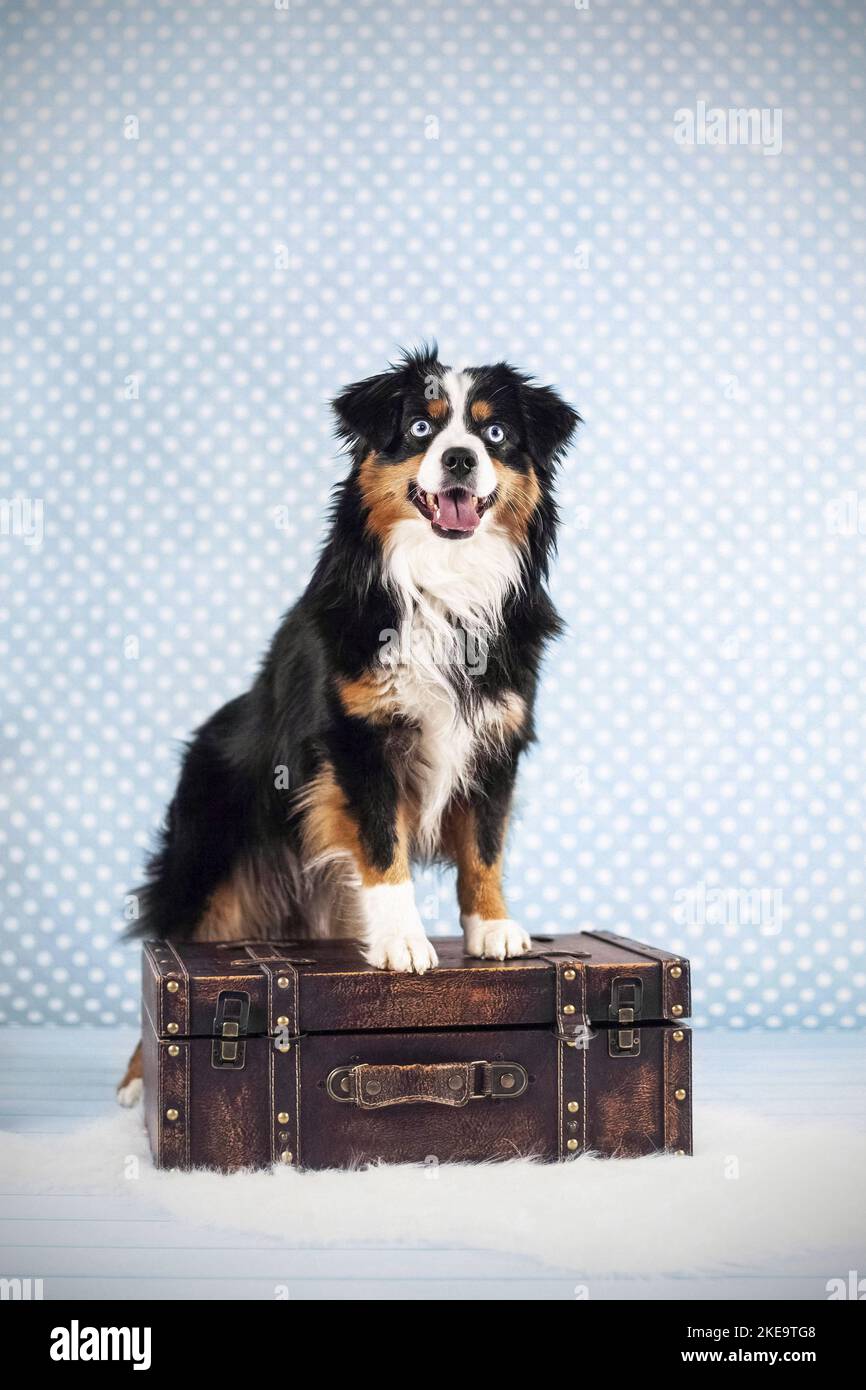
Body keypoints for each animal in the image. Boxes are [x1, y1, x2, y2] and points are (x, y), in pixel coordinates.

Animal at [113, 341, 575, 1100]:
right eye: (421, 427)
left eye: (494, 433)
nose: (459, 459)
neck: (444, 585)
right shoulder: (357, 744)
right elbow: (383, 848)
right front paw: (403, 942)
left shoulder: (498, 738)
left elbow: (484, 846)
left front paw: (493, 929)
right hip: (205, 866)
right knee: (165, 957)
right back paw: (134, 1078)